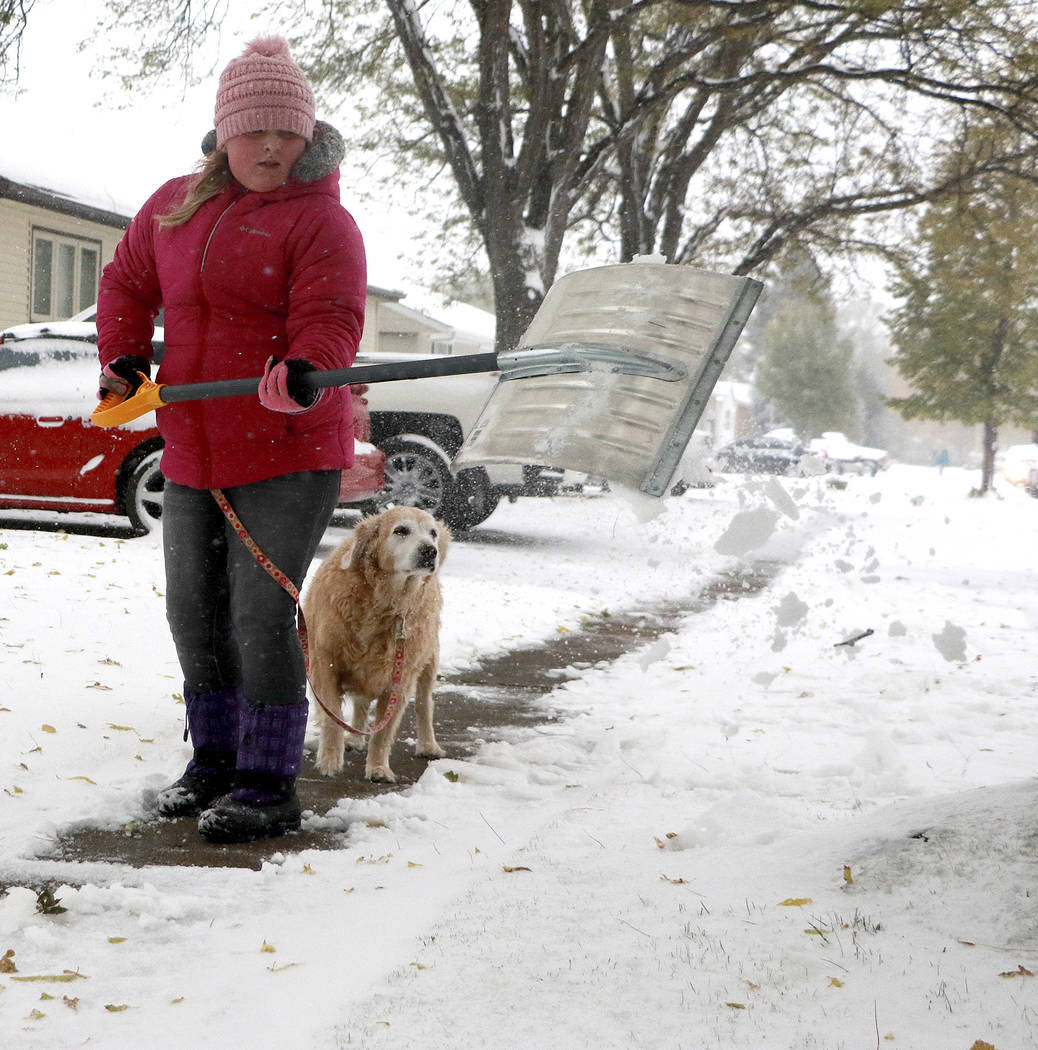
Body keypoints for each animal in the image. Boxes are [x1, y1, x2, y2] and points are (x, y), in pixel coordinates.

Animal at [298, 503, 447, 785]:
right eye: (401, 530)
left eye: (432, 533)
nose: (430, 551)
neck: (387, 601)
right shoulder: (324, 665)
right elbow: (333, 718)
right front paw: (330, 761)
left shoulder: (399, 680)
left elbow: (383, 732)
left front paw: (378, 768)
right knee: (360, 704)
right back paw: (354, 739)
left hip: (429, 659)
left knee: (425, 704)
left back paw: (428, 744)